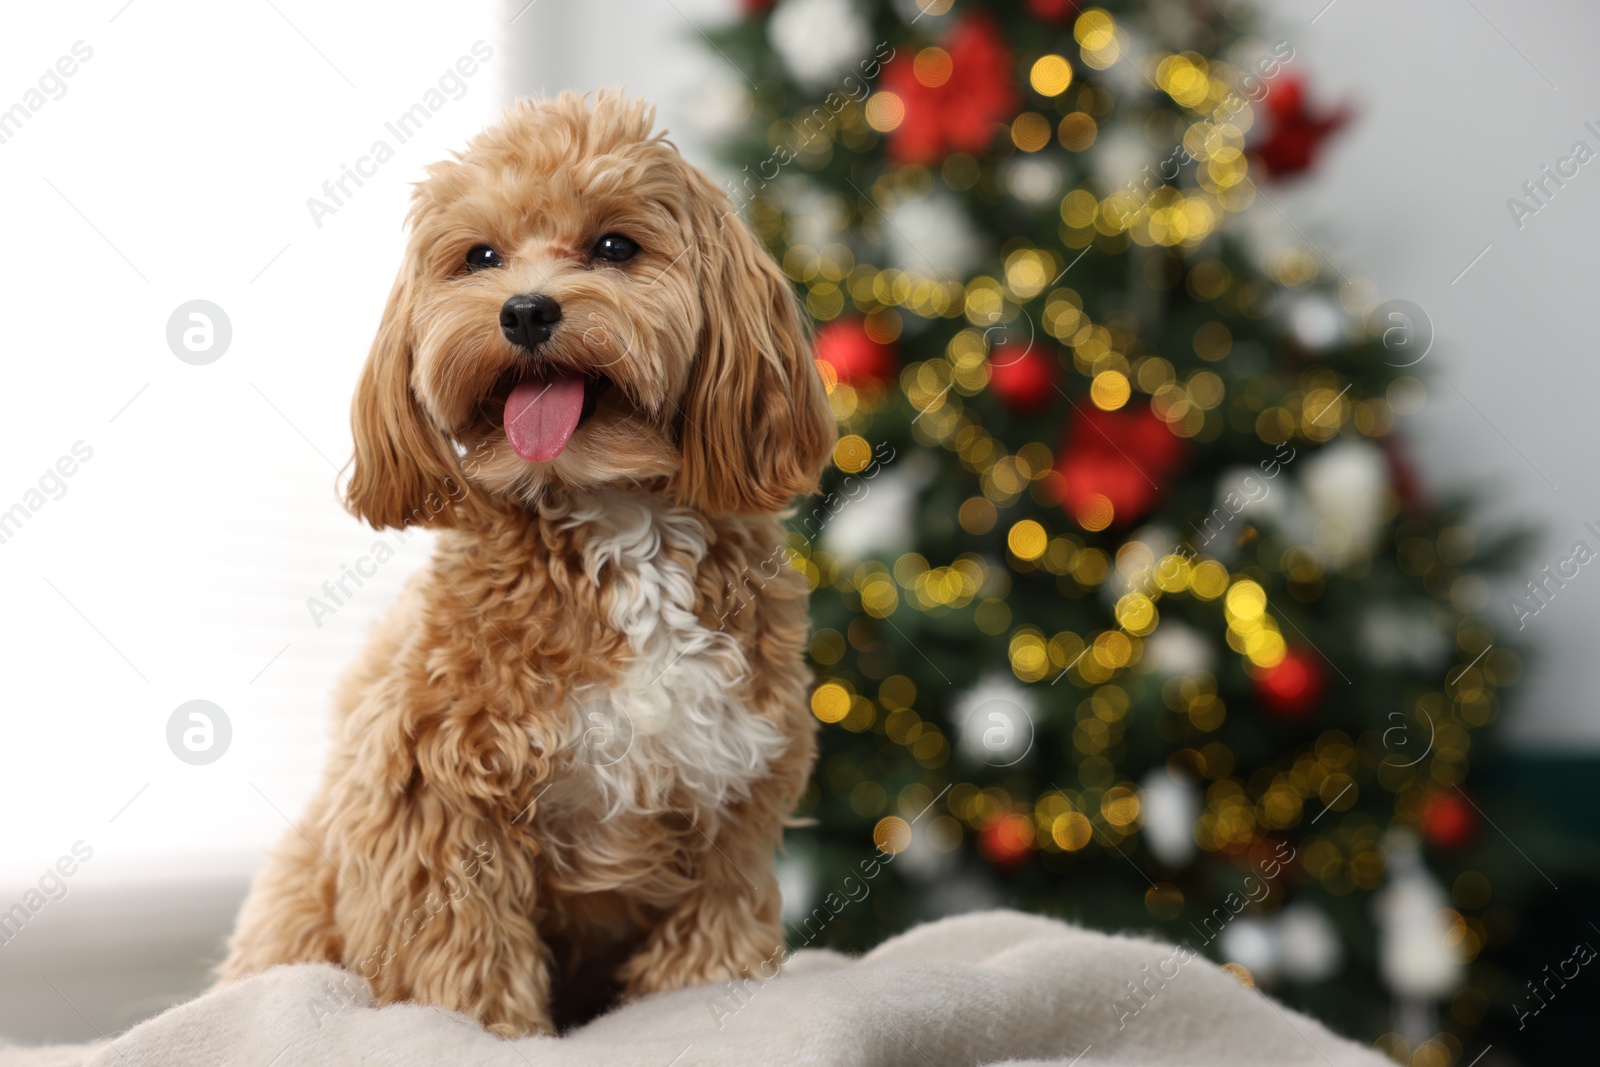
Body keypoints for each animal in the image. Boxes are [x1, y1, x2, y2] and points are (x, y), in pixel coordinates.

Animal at [224, 89, 838, 1036]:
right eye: (480, 256)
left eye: (615, 246)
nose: (524, 312)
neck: (611, 514)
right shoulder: (435, 801)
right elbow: (463, 962)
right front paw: (488, 1031)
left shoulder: (733, 807)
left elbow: (708, 954)